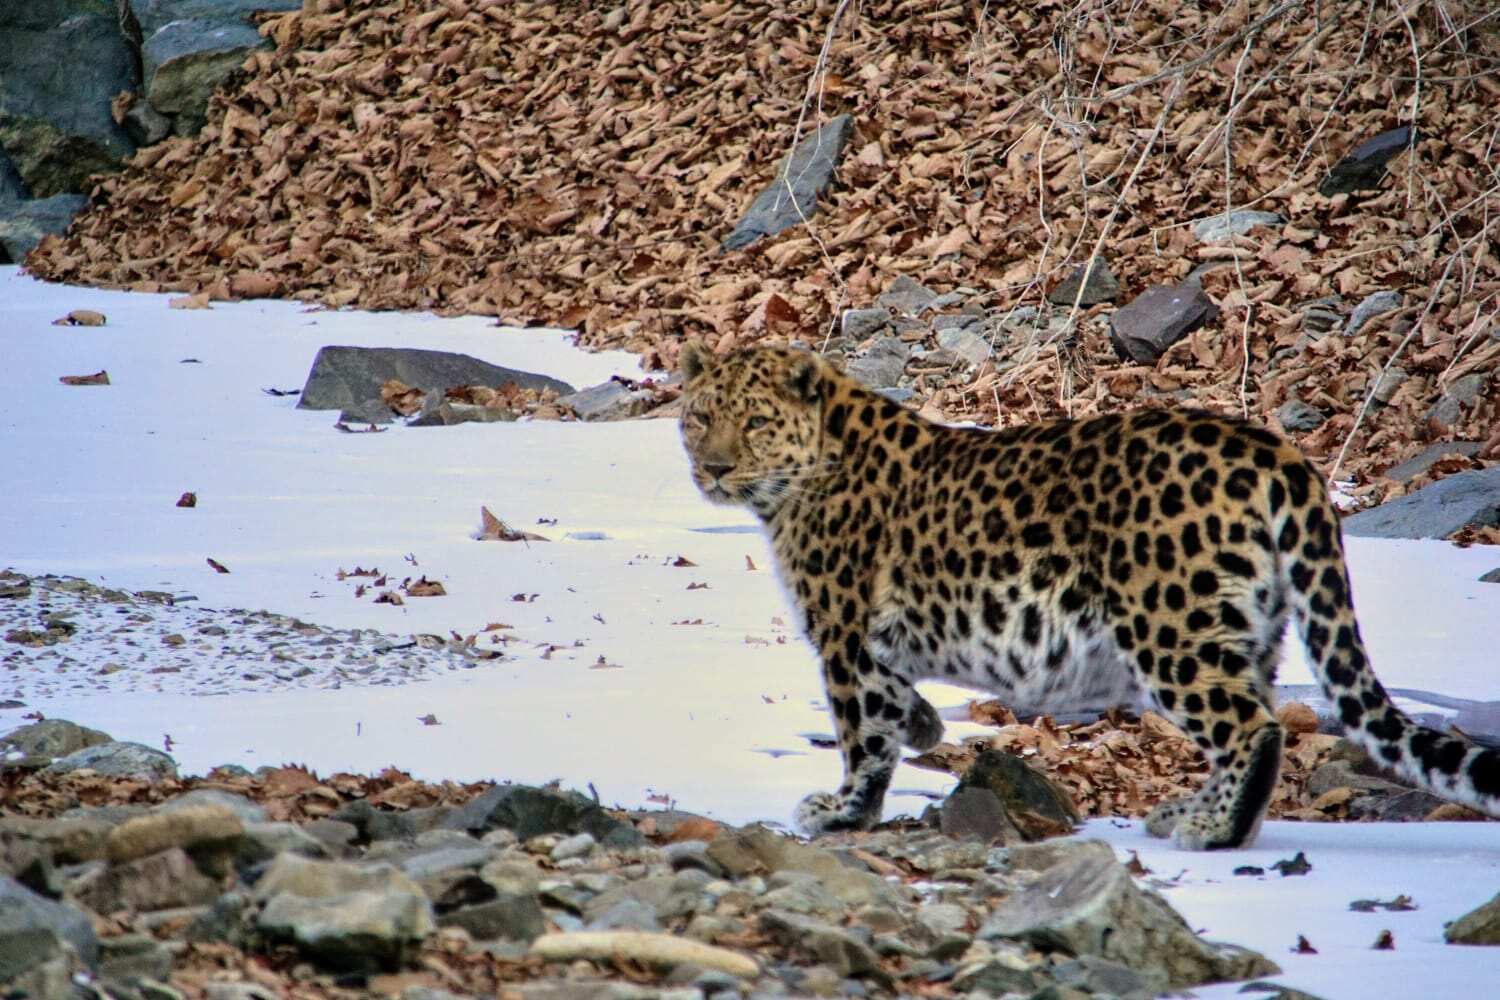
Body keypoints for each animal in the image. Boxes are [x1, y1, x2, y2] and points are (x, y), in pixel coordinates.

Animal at [678, 340, 1500, 851]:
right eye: (699, 417)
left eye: (755, 422)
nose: (712, 468)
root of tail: (1274, 450)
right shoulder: (871, 644)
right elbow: (894, 710)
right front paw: (925, 728)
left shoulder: (845, 636)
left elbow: (863, 733)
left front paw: (844, 812)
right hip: (1250, 627)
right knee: (1256, 719)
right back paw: (1206, 815)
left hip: (1171, 624)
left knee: (1252, 727)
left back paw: (1211, 831)